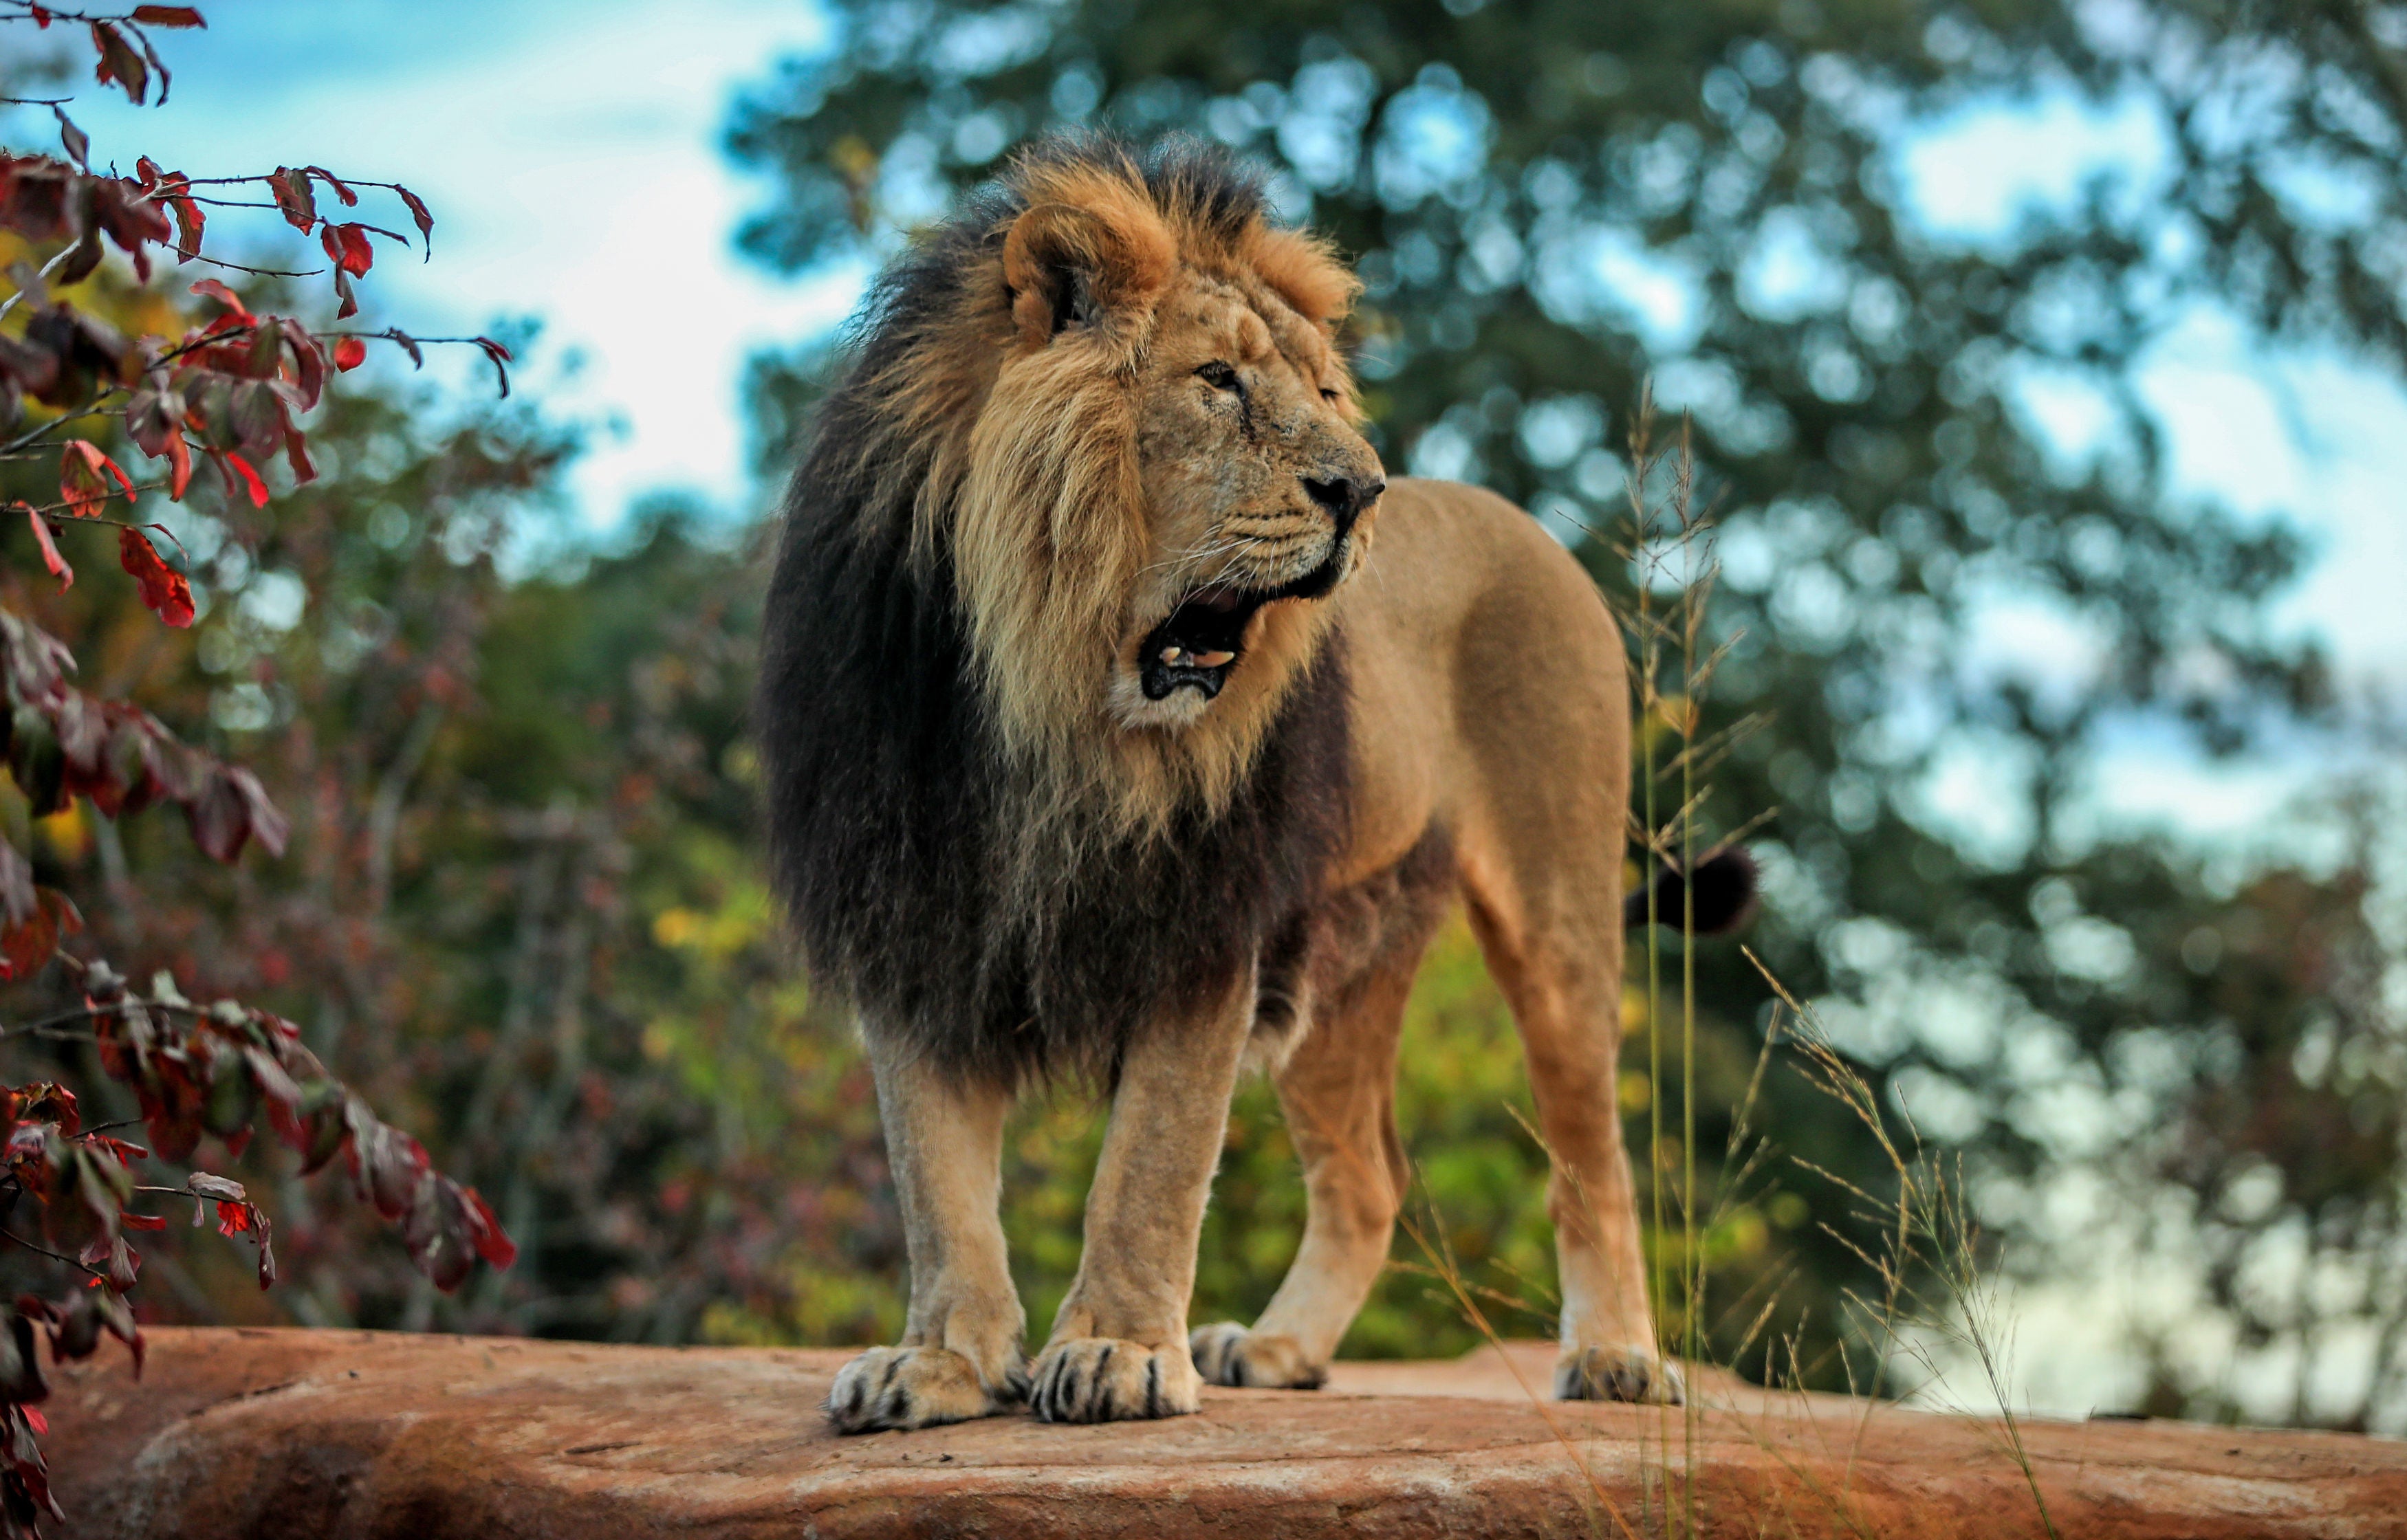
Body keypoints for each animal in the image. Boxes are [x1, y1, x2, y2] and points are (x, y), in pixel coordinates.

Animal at [756, 135, 1752, 1434]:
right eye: (1218, 381)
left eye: (1325, 396)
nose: (1362, 491)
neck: (1047, 707)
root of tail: (1523, 525)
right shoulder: (912, 909)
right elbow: (936, 1179)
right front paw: (940, 1363)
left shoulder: (1205, 915)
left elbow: (1152, 1162)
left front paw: (1120, 1354)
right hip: (1349, 955)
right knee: (1370, 1179)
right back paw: (1278, 1349)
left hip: (1559, 912)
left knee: (1595, 1157)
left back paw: (1620, 1359)